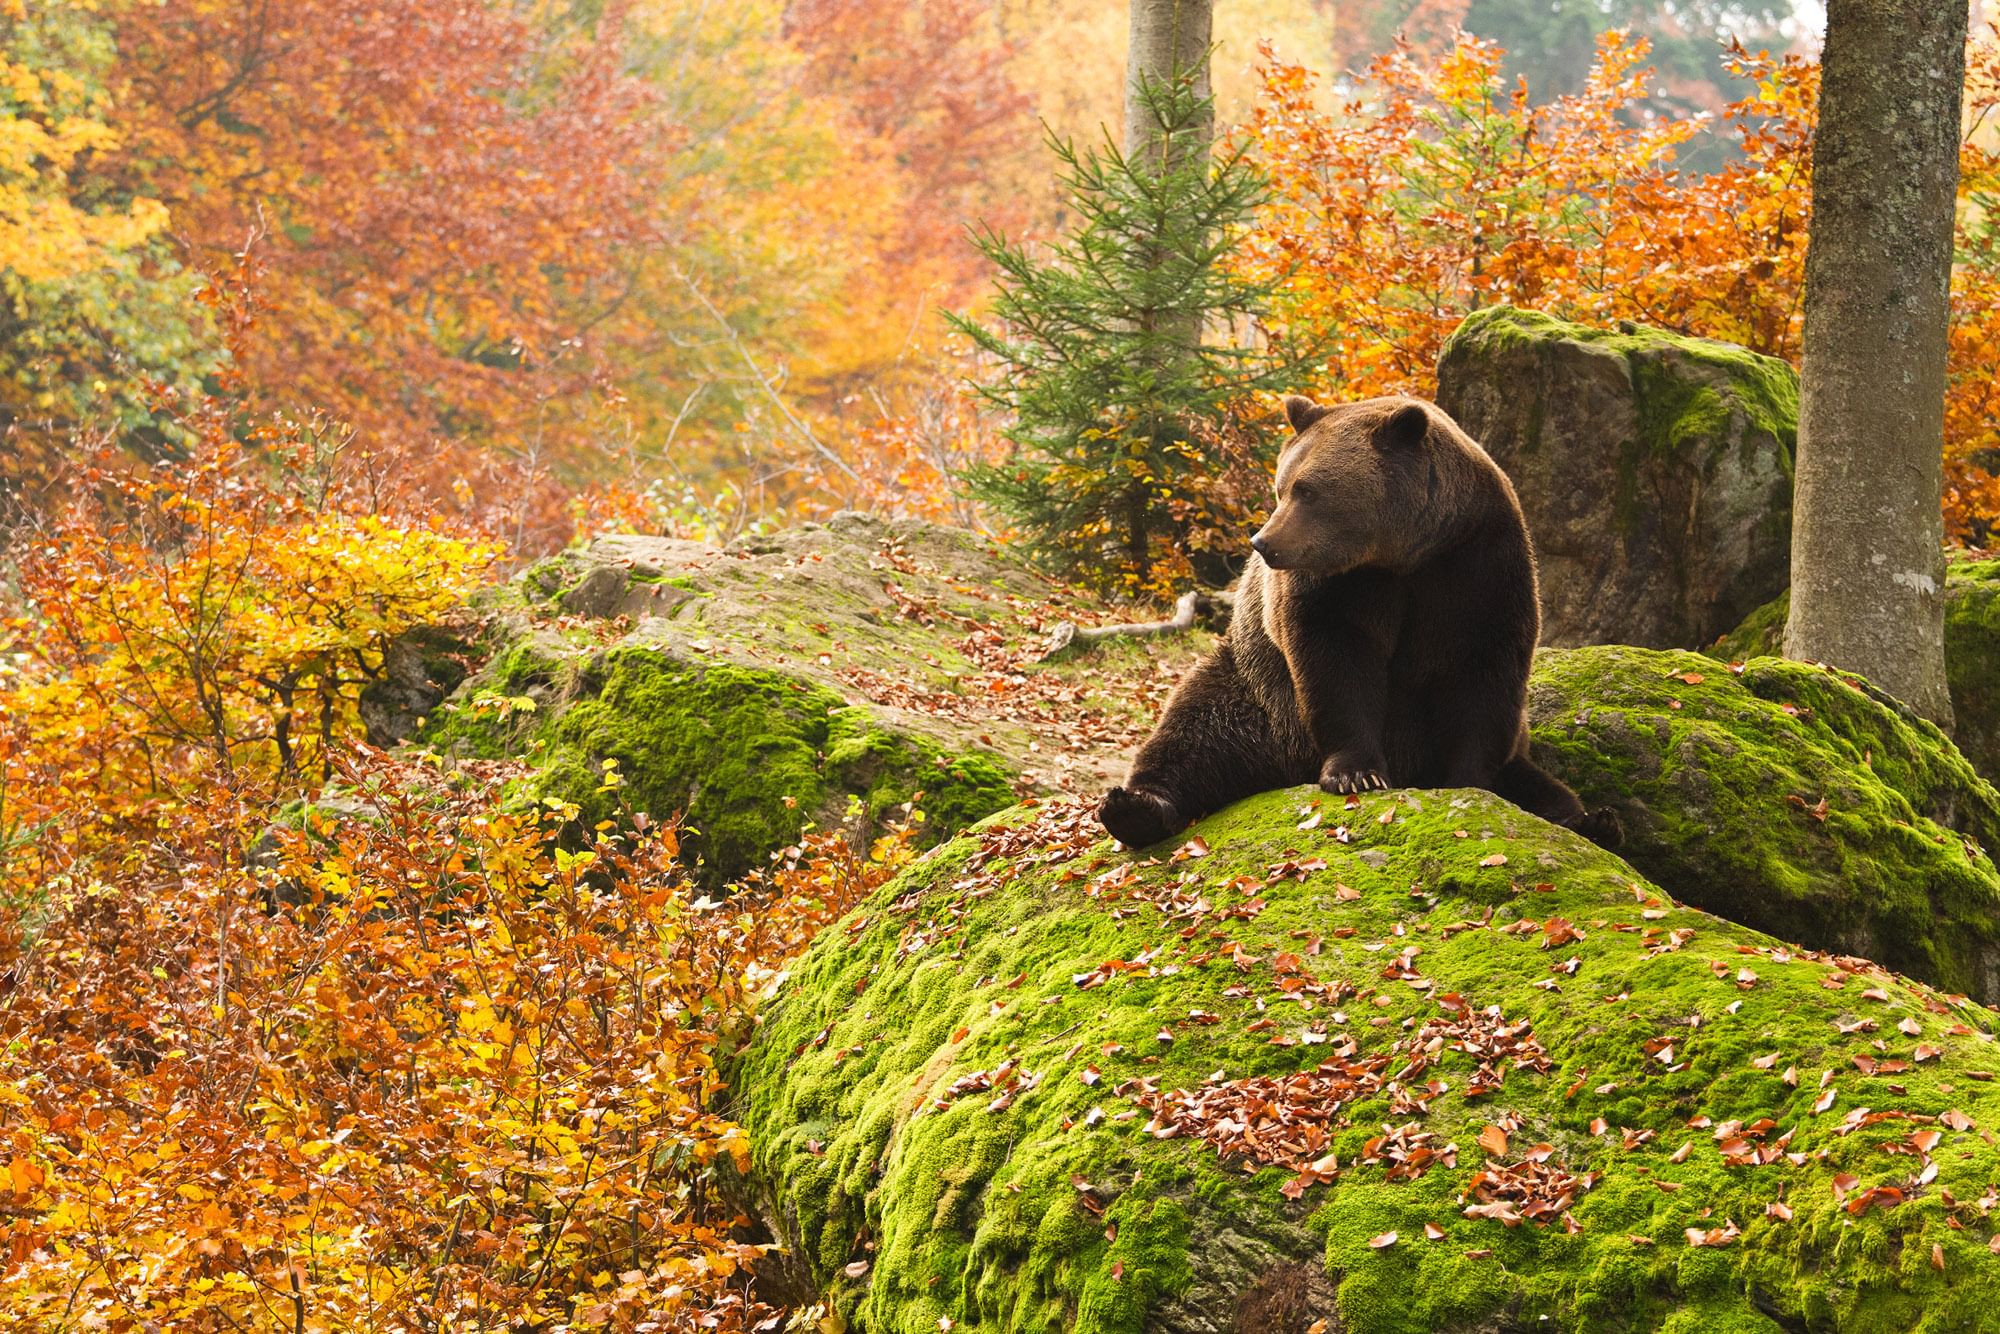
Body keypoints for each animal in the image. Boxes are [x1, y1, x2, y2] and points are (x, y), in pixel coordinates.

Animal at [1104, 394, 1616, 844]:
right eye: (1281, 486)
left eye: (1307, 490)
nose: (1263, 542)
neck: (1402, 555)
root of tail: (1284, 769)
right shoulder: (1336, 585)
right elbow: (1336, 664)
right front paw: (1356, 774)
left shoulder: (1478, 563)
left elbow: (1483, 672)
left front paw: (1470, 781)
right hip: (1257, 692)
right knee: (1194, 732)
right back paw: (1131, 807)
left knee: (1545, 785)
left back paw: (1593, 819)